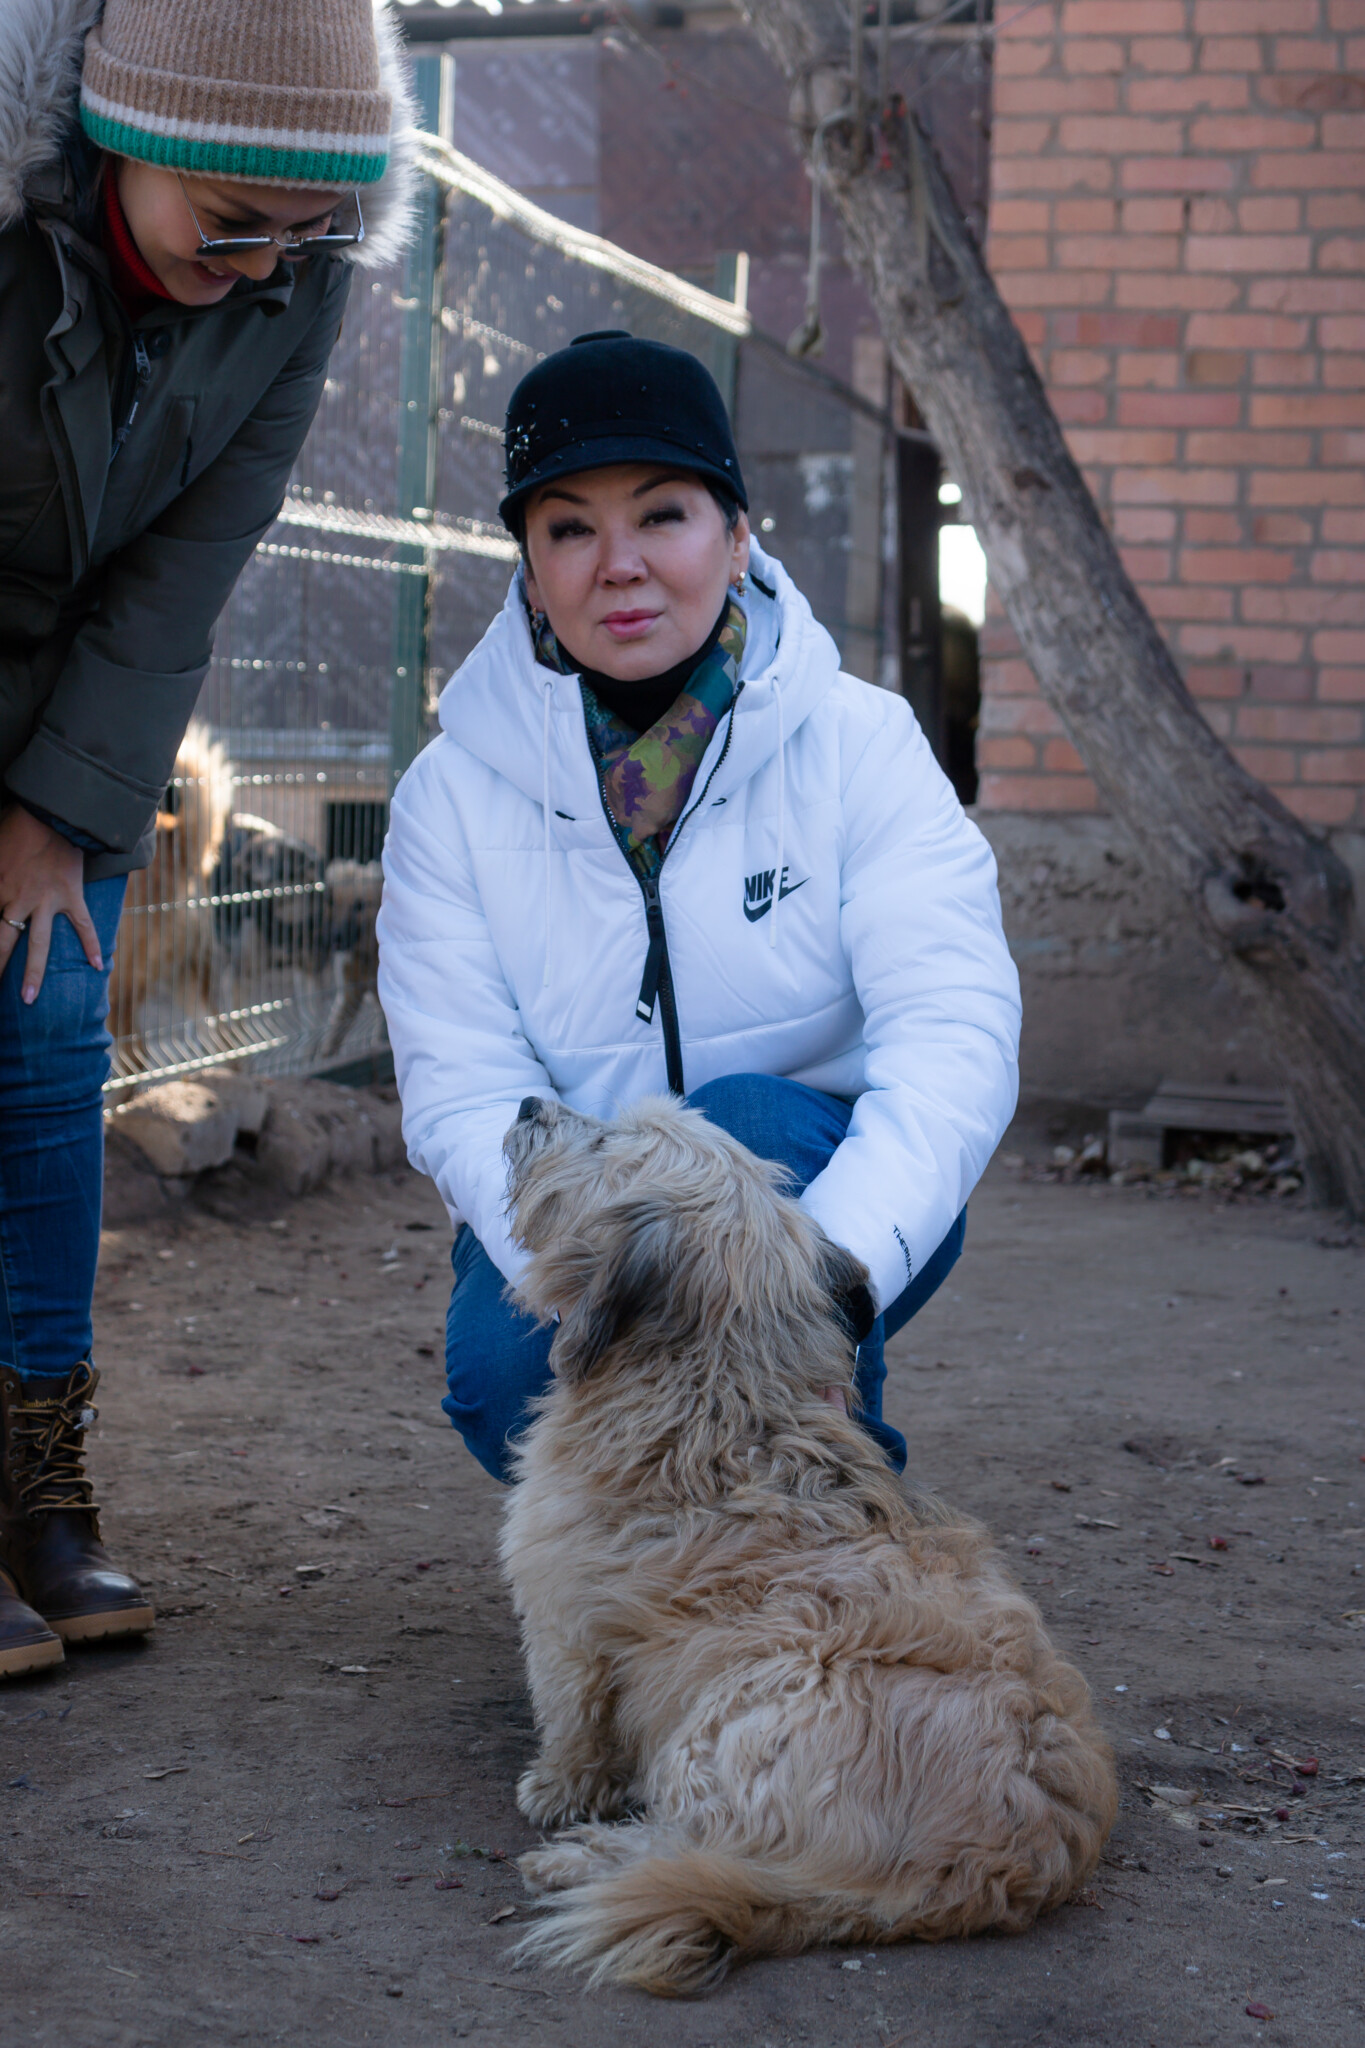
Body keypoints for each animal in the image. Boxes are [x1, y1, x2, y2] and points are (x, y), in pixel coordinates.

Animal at [501, 1097, 1121, 1990]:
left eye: (609, 1138)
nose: (526, 1103)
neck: (717, 1389)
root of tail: (991, 1867)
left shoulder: (566, 1625)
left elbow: (575, 1721)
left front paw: (558, 1790)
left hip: (737, 1716)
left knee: (698, 1843)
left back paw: (582, 1859)